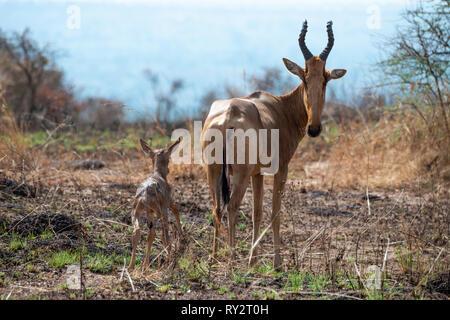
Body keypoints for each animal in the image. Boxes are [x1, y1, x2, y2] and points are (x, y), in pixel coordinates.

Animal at [202, 21, 346, 268]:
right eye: (304, 78)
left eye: (324, 79)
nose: (314, 128)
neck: (280, 107)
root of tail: (228, 116)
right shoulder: (280, 169)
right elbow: (275, 213)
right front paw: (277, 263)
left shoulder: (257, 173)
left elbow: (257, 212)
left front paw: (253, 261)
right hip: (238, 173)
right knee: (232, 206)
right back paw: (231, 262)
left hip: (213, 170)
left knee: (216, 208)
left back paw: (212, 260)